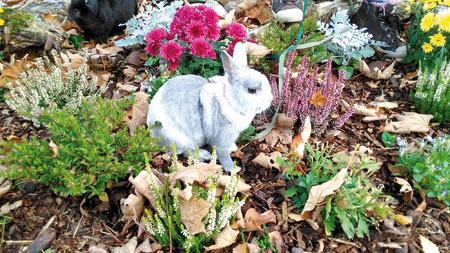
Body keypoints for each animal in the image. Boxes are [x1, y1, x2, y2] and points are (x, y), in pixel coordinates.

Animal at [149, 43, 274, 172]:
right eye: (251, 90)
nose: (270, 100)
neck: (229, 99)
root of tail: (152, 132)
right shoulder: (221, 139)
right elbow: (223, 155)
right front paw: (233, 169)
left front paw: (233, 148)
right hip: (180, 140)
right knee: (185, 152)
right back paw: (205, 155)